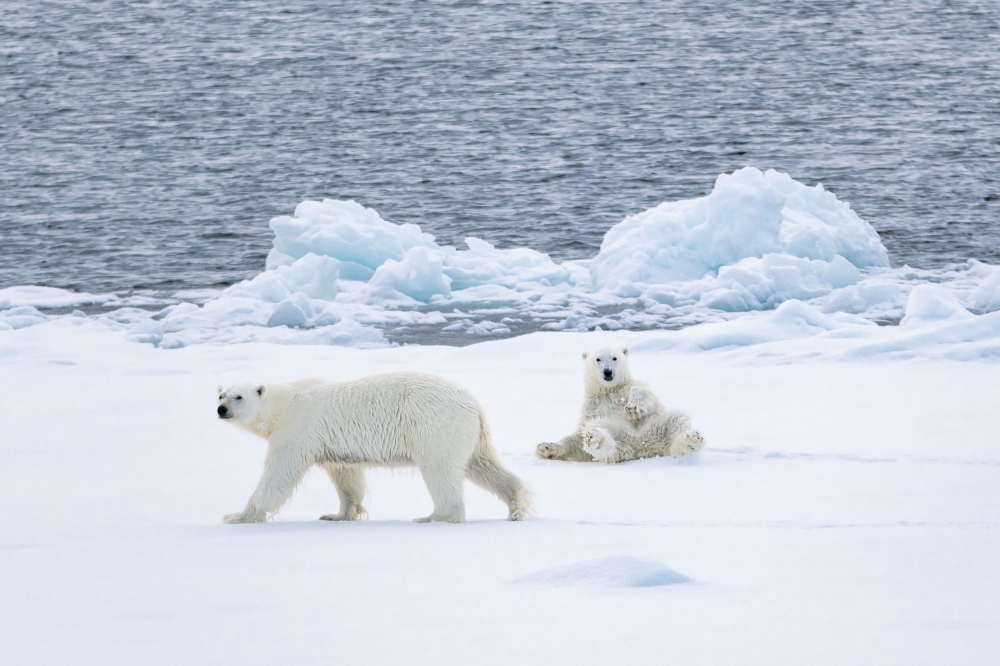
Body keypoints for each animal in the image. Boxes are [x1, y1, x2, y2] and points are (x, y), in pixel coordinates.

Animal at [219, 370, 532, 520]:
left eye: (239, 397)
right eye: (221, 393)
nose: (221, 409)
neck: (282, 405)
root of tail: (475, 404)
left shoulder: (296, 431)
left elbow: (278, 475)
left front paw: (239, 516)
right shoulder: (332, 445)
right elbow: (347, 477)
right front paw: (338, 515)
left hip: (435, 425)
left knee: (440, 469)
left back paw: (435, 517)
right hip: (470, 435)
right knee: (483, 465)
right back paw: (516, 505)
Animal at [536, 348, 708, 462]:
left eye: (614, 358)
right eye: (598, 359)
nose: (607, 371)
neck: (608, 390)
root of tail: (640, 448)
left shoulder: (627, 387)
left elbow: (645, 393)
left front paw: (634, 407)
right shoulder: (592, 406)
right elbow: (579, 436)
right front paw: (546, 448)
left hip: (657, 425)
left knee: (676, 420)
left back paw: (691, 440)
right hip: (616, 432)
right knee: (600, 435)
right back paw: (596, 439)